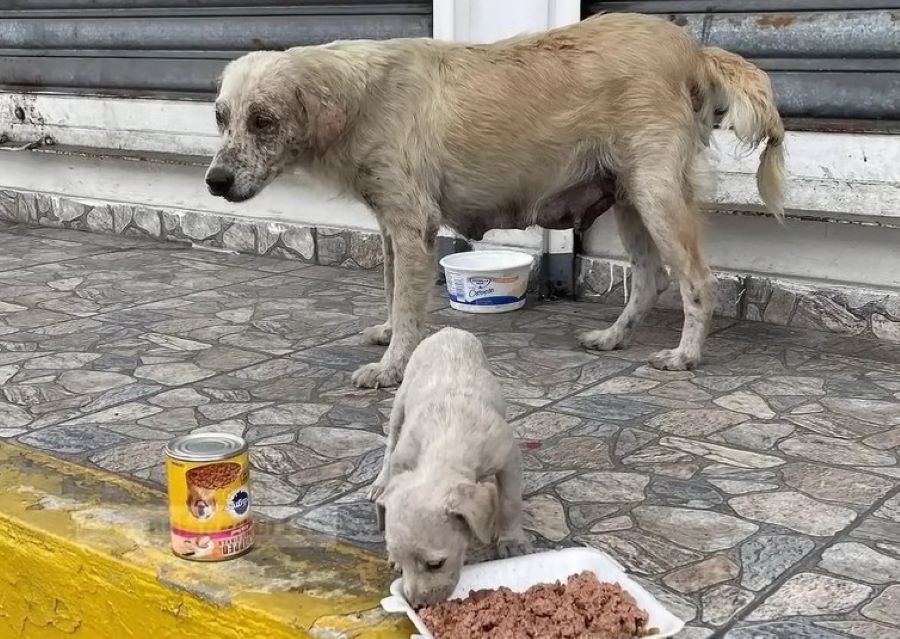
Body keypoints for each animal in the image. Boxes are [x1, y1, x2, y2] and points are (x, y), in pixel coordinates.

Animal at [207, 11, 784, 390]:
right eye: (220, 116)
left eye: (263, 120)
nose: (214, 181)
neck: (359, 96)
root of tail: (693, 50)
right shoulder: (391, 224)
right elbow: (392, 289)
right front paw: (390, 334)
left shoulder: (412, 225)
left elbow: (408, 301)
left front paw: (393, 366)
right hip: (628, 199)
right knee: (648, 281)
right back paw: (612, 338)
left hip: (658, 195)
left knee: (697, 282)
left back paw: (685, 356)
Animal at [370, 328, 532, 608]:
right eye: (401, 561)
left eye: (435, 564)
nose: (416, 605)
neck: (447, 435)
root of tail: (448, 330)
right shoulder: (405, 460)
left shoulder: (509, 457)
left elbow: (510, 502)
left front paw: (512, 540)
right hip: (400, 401)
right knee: (390, 444)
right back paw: (379, 484)